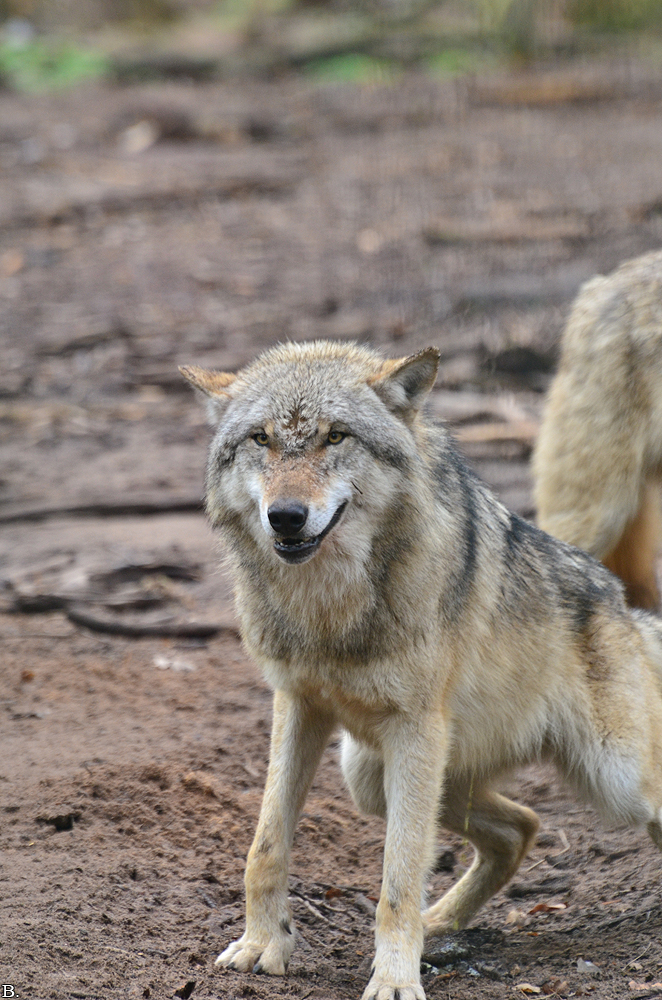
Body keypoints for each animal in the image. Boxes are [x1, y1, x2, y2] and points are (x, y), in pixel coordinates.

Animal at [181, 340, 662, 1000]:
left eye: (336, 437)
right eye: (261, 439)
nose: (286, 516)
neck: (329, 610)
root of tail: (626, 606)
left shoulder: (415, 728)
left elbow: (399, 879)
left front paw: (394, 980)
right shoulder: (298, 705)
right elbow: (265, 846)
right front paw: (261, 945)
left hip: (612, 778)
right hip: (372, 773)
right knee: (523, 826)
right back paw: (441, 924)